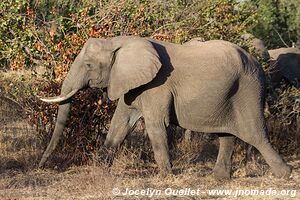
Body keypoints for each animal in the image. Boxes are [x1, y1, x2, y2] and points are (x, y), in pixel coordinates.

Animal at [39, 35, 290, 178]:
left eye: (89, 65)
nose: (41, 167)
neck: (120, 42)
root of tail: (259, 64)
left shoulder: (157, 85)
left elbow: (155, 125)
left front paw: (167, 177)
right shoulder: (133, 83)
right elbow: (120, 124)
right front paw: (100, 169)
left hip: (248, 90)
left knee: (255, 134)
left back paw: (284, 176)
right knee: (227, 135)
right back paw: (219, 178)